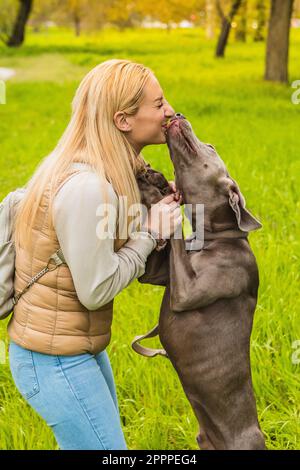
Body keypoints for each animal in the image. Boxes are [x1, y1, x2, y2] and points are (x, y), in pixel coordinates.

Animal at [132, 113, 266, 448]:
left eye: (211, 146)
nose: (178, 115)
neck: (215, 238)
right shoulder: (154, 272)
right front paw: (152, 183)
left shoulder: (186, 292)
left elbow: (176, 230)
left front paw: (159, 193)